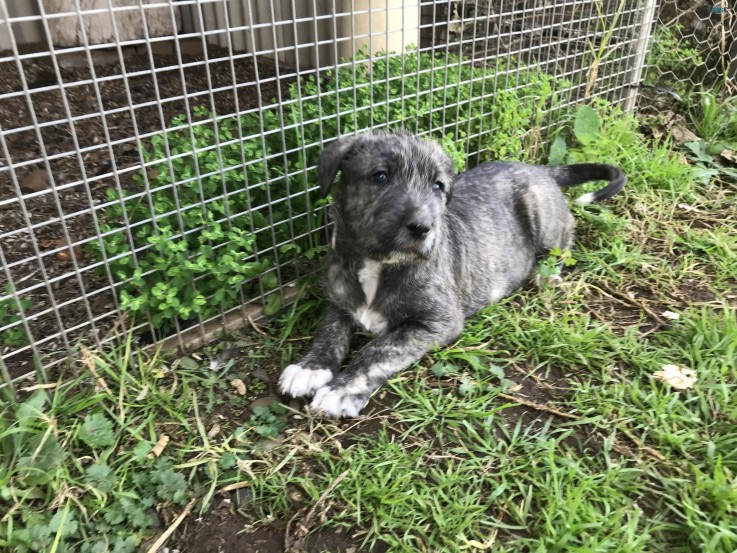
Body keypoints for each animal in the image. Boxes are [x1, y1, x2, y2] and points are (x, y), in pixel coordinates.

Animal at [278, 132, 624, 416]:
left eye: (437, 186)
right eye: (380, 176)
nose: (422, 227)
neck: (380, 264)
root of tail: (541, 169)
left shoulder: (438, 321)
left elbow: (377, 350)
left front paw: (341, 390)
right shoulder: (338, 301)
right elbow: (329, 332)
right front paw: (311, 368)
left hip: (544, 216)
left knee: (566, 239)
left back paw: (548, 275)